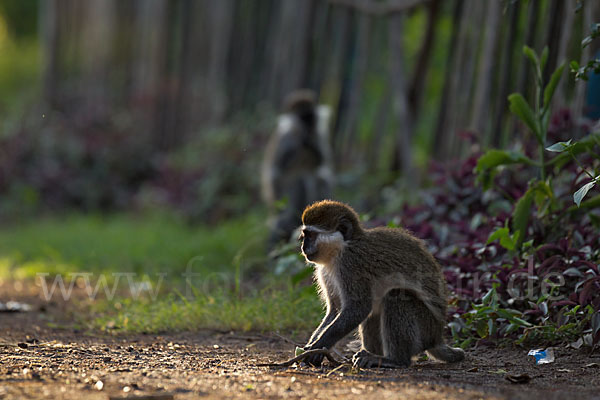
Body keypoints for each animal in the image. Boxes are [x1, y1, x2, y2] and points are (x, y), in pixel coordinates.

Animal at [262, 90, 336, 250]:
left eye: (310, 117)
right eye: (302, 118)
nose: (308, 126)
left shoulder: (318, 134)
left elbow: (322, 161)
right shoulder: (285, 138)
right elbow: (276, 171)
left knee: (320, 177)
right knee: (299, 181)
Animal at [300, 200, 464, 368]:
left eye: (311, 235)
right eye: (305, 235)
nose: (303, 247)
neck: (342, 248)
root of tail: (437, 337)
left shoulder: (350, 264)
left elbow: (357, 309)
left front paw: (318, 346)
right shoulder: (324, 271)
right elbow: (336, 309)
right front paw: (313, 345)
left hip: (426, 326)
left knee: (395, 296)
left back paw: (394, 360)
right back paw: (371, 353)